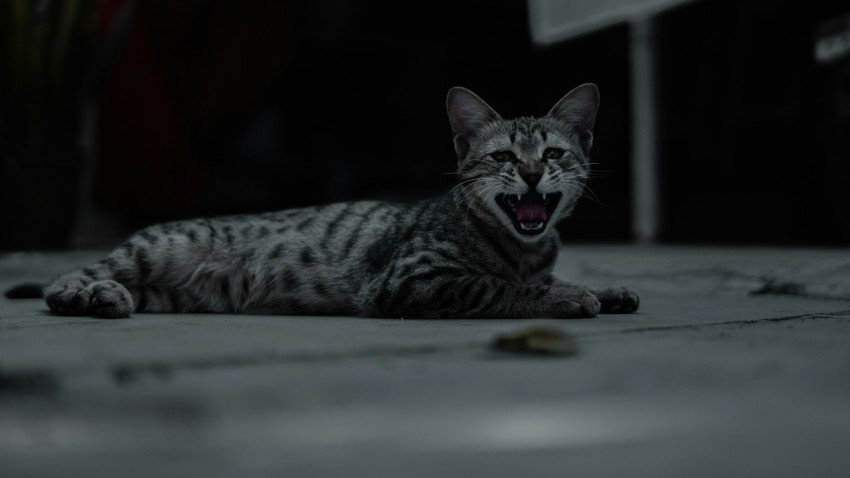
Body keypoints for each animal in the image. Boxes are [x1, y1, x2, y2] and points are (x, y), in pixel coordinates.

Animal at [41, 84, 636, 320]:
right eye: (504, 158)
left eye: (553, 153)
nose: (532, 174)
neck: (521, 249)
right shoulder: (412, 280)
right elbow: (498, 288)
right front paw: (566, 298)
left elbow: (537, 279)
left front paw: (605, 289)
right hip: (158, 249)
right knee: (71, 276)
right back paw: (78, 292)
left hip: (179, 294)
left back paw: (106, 299)